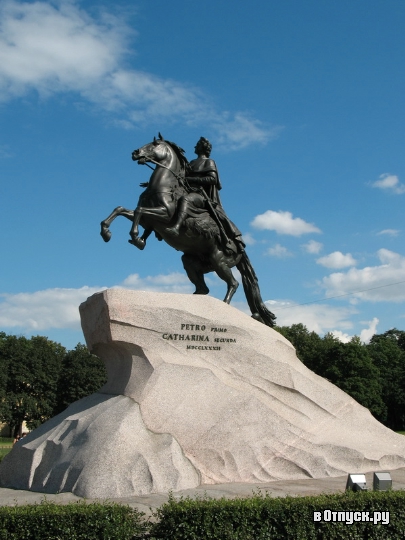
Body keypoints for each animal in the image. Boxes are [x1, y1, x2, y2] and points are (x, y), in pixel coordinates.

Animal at [99, 136, 274, 324]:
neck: (164, 186)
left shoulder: (164, 214)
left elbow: (139, 211)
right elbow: (121, 209)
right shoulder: (148, 220)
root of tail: (240, 248)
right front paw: (107, 233)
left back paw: (224, 307)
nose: (135, 153)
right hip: (193, 261)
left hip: (219, 260)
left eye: (154, 144)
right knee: (203, 288)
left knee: (233, 283)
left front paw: (136, 236)